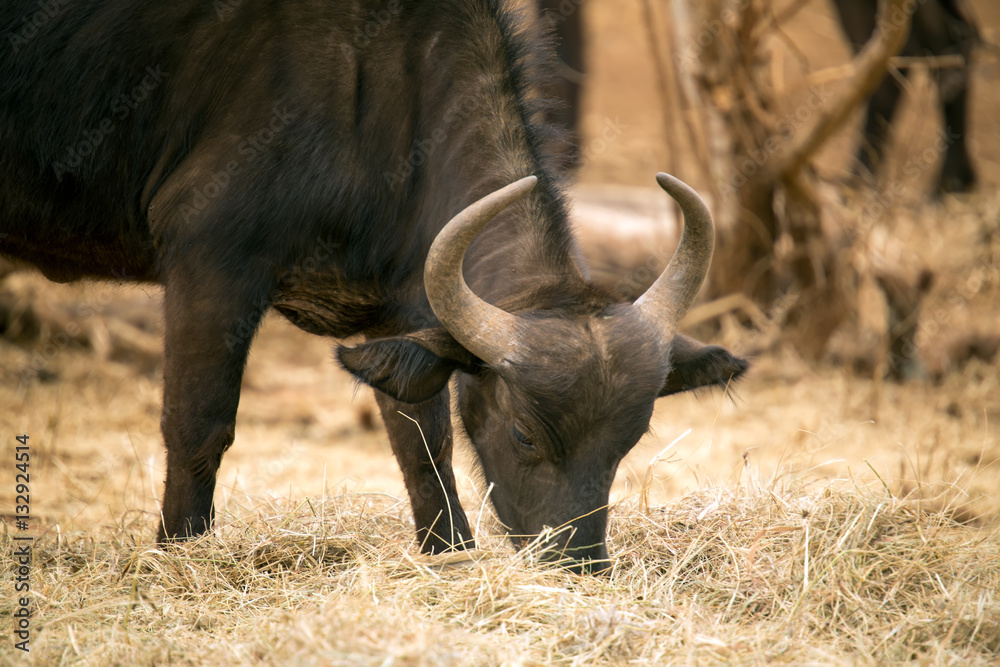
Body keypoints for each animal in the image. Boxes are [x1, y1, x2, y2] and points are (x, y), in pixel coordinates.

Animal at [1, 0, 746, 572]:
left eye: (631, 440)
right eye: (525, 434)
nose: (579, 563)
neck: (379, 96)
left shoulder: (395, 313)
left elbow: (422, 443)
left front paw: (448, 551)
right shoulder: (210, 260)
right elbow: (198, 424)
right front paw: (179, 551)